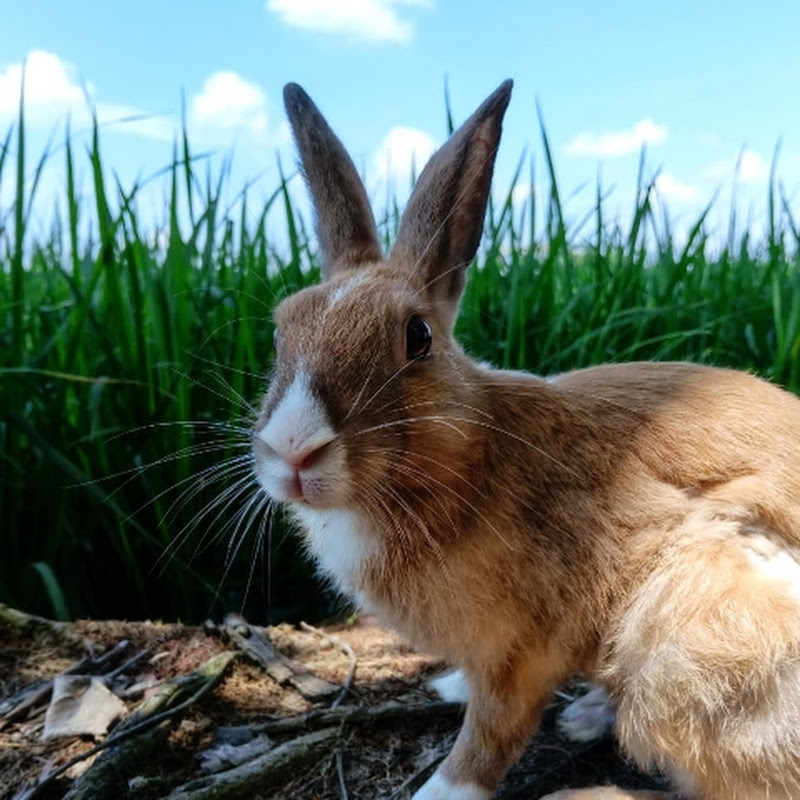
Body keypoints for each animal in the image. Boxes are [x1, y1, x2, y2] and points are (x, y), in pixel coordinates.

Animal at [252, 79, 800, 800]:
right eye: (280, 329)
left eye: (417, 337)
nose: (293, 449)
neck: (470, 454)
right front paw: (448, 685)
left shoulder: (522, 651)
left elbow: (491, 734)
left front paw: (440, 790)